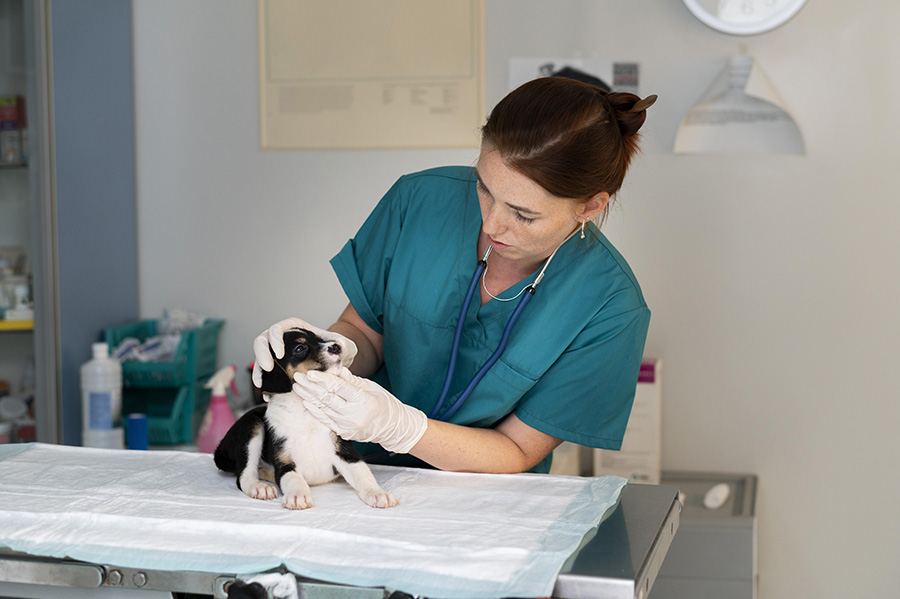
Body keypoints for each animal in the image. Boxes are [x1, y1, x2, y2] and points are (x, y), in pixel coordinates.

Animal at [214, 328, 398, 510]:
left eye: (320, 339)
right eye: (300, 348)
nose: (336, 346)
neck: (304, 411)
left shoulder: (346, 453)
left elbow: (363, 475)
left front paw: (378, 494)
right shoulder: (285, 463)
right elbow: (294, 480)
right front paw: (298, 496)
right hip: (252, 425)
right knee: (244, 475)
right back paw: (259, 488)